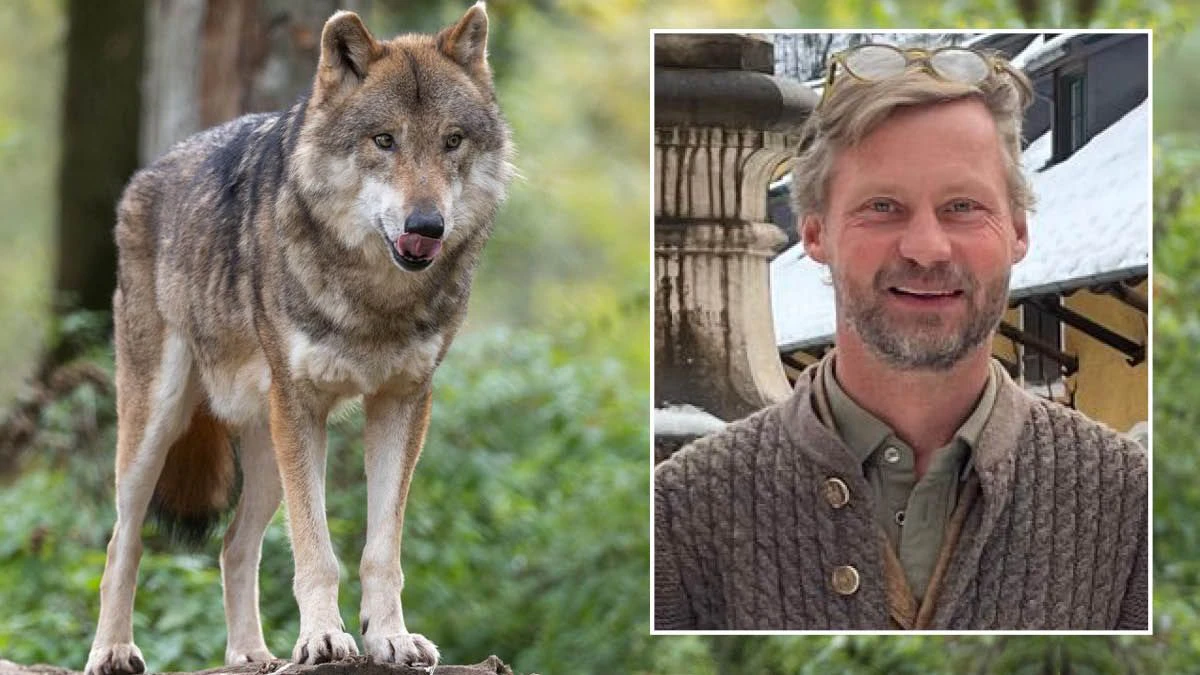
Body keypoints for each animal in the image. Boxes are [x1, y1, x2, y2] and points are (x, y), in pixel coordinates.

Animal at [84, 4, 512, 674]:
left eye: (452, 141)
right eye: (384, 140)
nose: (427, 225)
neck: (375, 300)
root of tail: (144, 176)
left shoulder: (403, 403)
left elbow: (380, 551)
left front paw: (389, 638)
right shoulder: (303, 406)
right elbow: (317, 551)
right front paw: (323, 639)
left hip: (266, 451)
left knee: (234, 545)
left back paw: (249, 655)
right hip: (159, 426)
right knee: (121, 542)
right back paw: (111, 650)